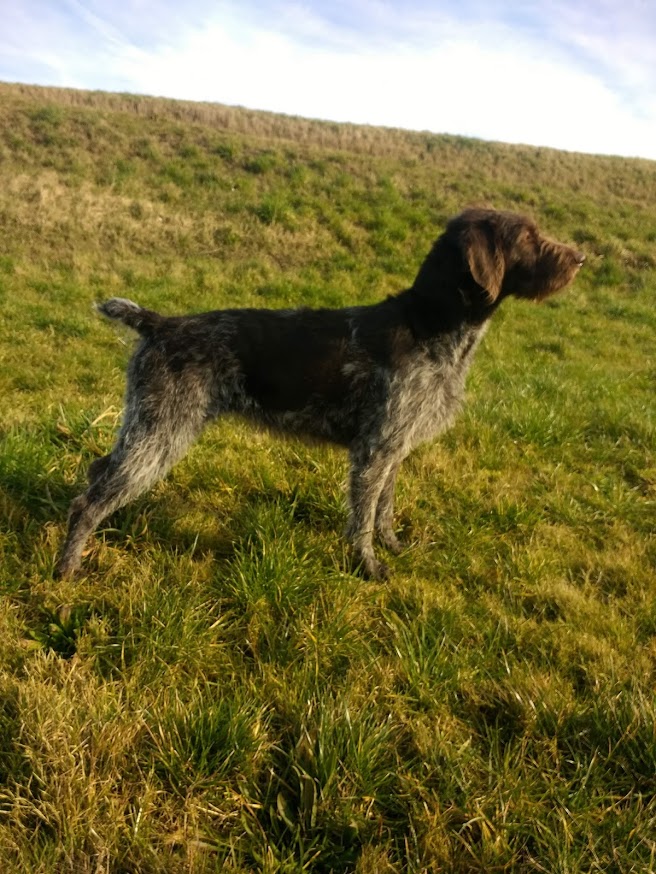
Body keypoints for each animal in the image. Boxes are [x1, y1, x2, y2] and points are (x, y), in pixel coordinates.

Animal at [55, 208, 584, 581]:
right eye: (527, 237)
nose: (581, 257)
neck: (432, 325)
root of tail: (160, 324)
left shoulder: (393, 448)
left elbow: (384, 509)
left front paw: (393, 547)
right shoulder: (374, 451)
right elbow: (364, 518)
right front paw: (369, 568)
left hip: (145, 425)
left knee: (97, 471)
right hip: (161, 432)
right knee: (88, 501)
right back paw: (66, 570)